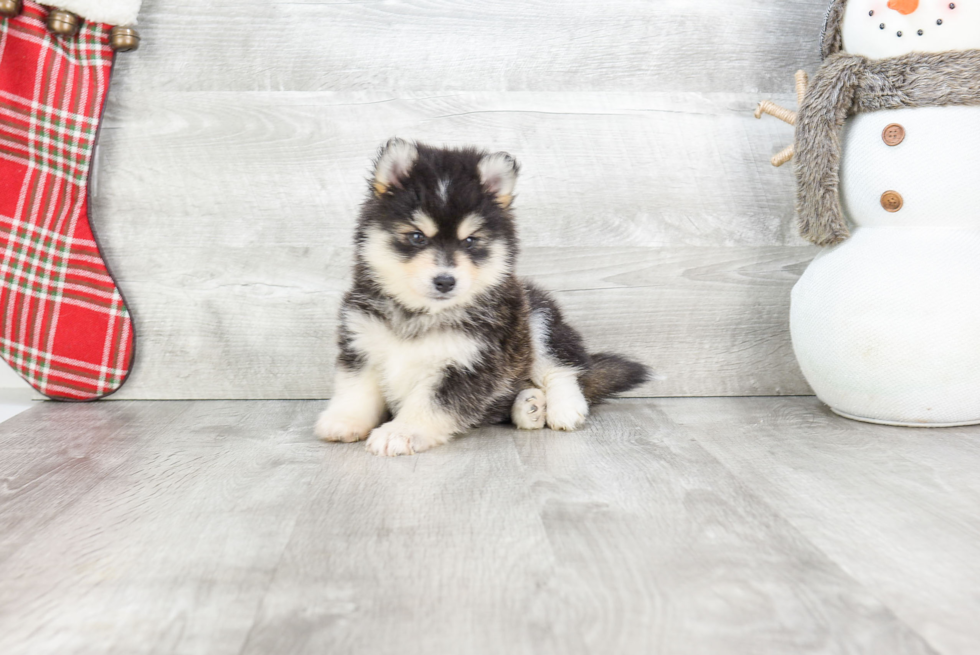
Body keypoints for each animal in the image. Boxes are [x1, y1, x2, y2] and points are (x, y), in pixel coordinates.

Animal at [316, 138, 652, 456]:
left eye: (470, 241)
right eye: (417, 236)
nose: (445, 281)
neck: (419, 314)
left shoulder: (469, 364)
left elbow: (430, 404)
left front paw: (401, 432)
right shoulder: (361, 343)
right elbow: (356, 390)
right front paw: (345, 420)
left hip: (536, 316)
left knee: (564, 368)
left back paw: (563, 407)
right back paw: (529, 407)